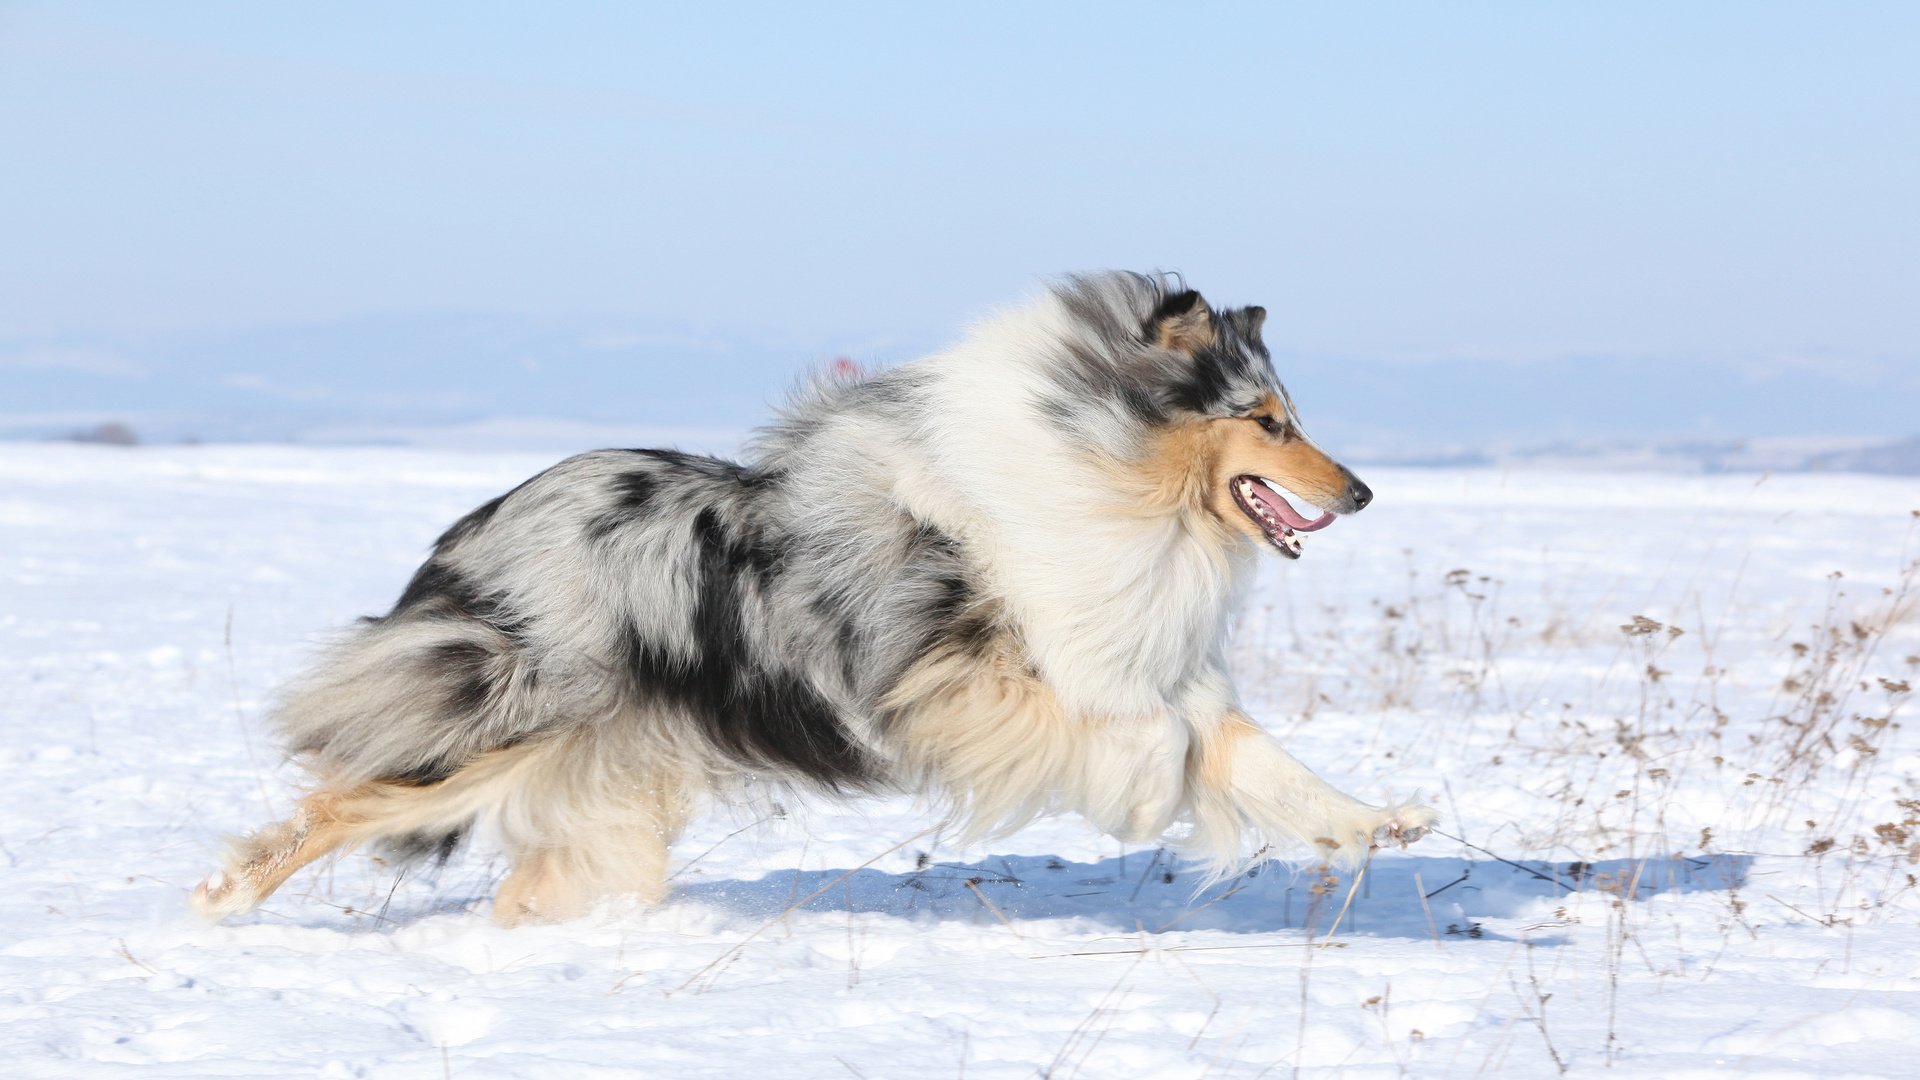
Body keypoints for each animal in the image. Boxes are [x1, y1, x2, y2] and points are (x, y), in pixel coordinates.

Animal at [194, 272, 1436, 922]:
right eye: (1267, 421)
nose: (1366, 490)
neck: (1111, 476)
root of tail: (474, 524)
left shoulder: (1155, 666)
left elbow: (1254, 757)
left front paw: (1384, 821)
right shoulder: (971, 677)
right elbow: (1148, 742)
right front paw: (1140, 799)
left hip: (610, 779)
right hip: (504, 712)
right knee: (338, 801)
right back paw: (223, 901)